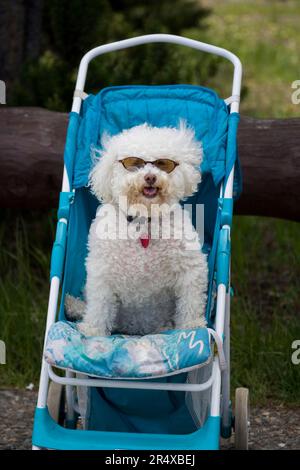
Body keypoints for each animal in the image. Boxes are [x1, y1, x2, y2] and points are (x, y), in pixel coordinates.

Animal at [66, 121, 207, 334]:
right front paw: (93, 330)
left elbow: (191, 300)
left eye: (163, 164)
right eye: (134, 163)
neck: (143, 221)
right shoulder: (102, 273)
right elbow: (99, 306)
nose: (150, 177)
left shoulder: (190, 267)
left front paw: (192, 325)